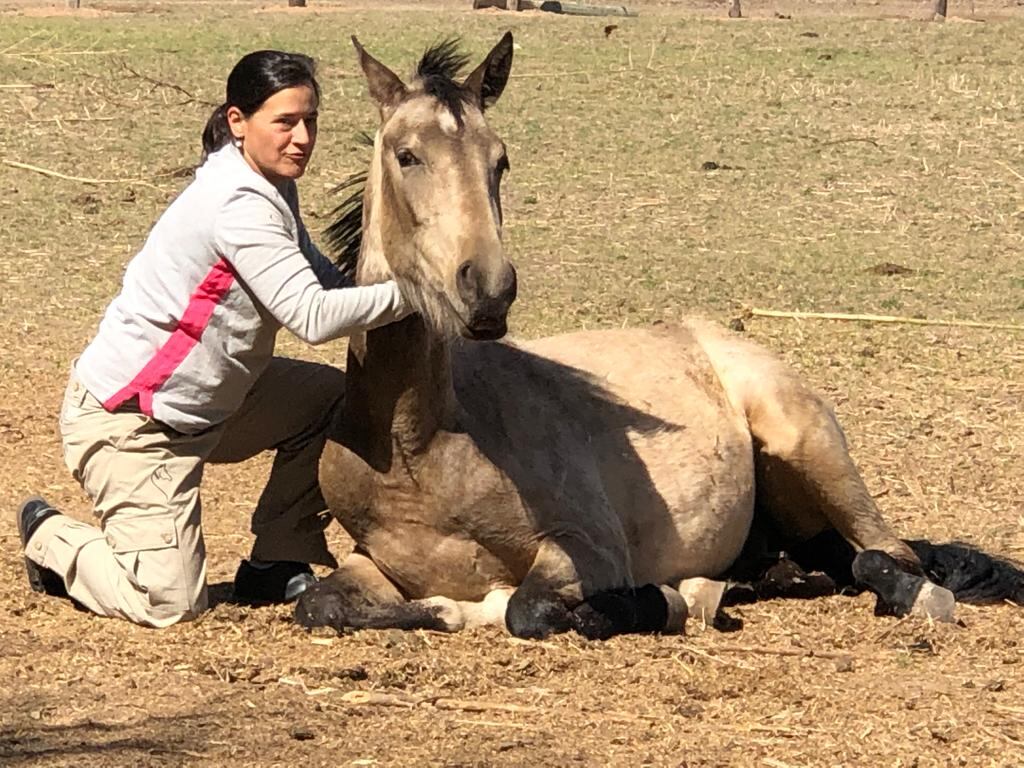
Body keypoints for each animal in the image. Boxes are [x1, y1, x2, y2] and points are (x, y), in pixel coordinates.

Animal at [292, 33, 1019, 638]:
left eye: (500, 161)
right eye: (407, 155)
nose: (488, 289)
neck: (420, 446)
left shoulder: (588, 546)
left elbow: (528, 608)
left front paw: (659, 600)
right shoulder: (371, 561)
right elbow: (319, 603)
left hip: (809, 449)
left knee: (884, 556)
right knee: (827, 563)